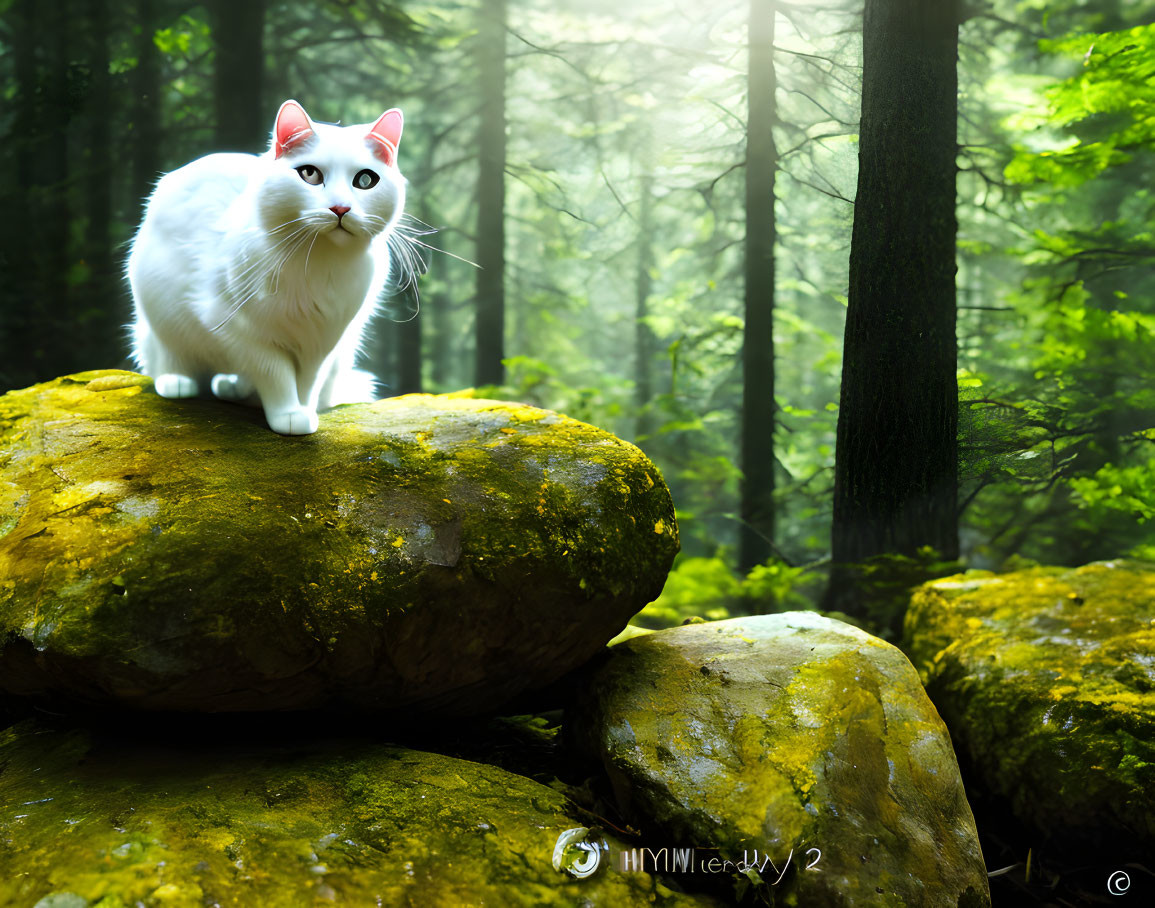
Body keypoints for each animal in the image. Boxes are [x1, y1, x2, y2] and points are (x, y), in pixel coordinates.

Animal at [129, 101, 408, 434]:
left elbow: (307, 384)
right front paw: (287, 415)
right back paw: (178, 383)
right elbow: (276, 373)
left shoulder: (324, 343)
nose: (340, 208)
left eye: (365, 181)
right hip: (162, 317)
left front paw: (302, 412)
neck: (318, 263)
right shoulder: (235, 329)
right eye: (310, 174)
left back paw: (234, 389)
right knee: (169, 357)